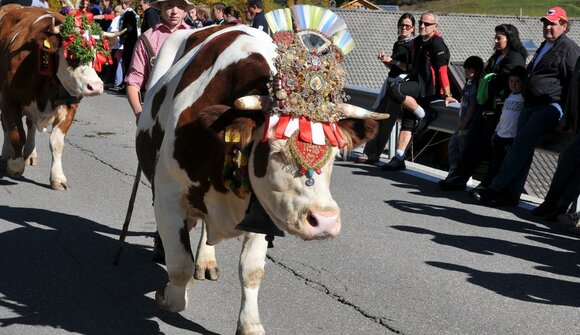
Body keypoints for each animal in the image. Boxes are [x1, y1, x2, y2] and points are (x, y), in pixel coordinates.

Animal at [0, 5, 104, 190]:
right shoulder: (9, 100)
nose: (96, 87)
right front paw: (15, 166)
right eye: (71, 53)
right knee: (6, 126)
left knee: (31, 124)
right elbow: (16, 134)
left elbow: (56, 142)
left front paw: (58, 177)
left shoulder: (70, 106)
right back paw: (7, 155)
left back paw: (30, 154)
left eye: (95, 55)